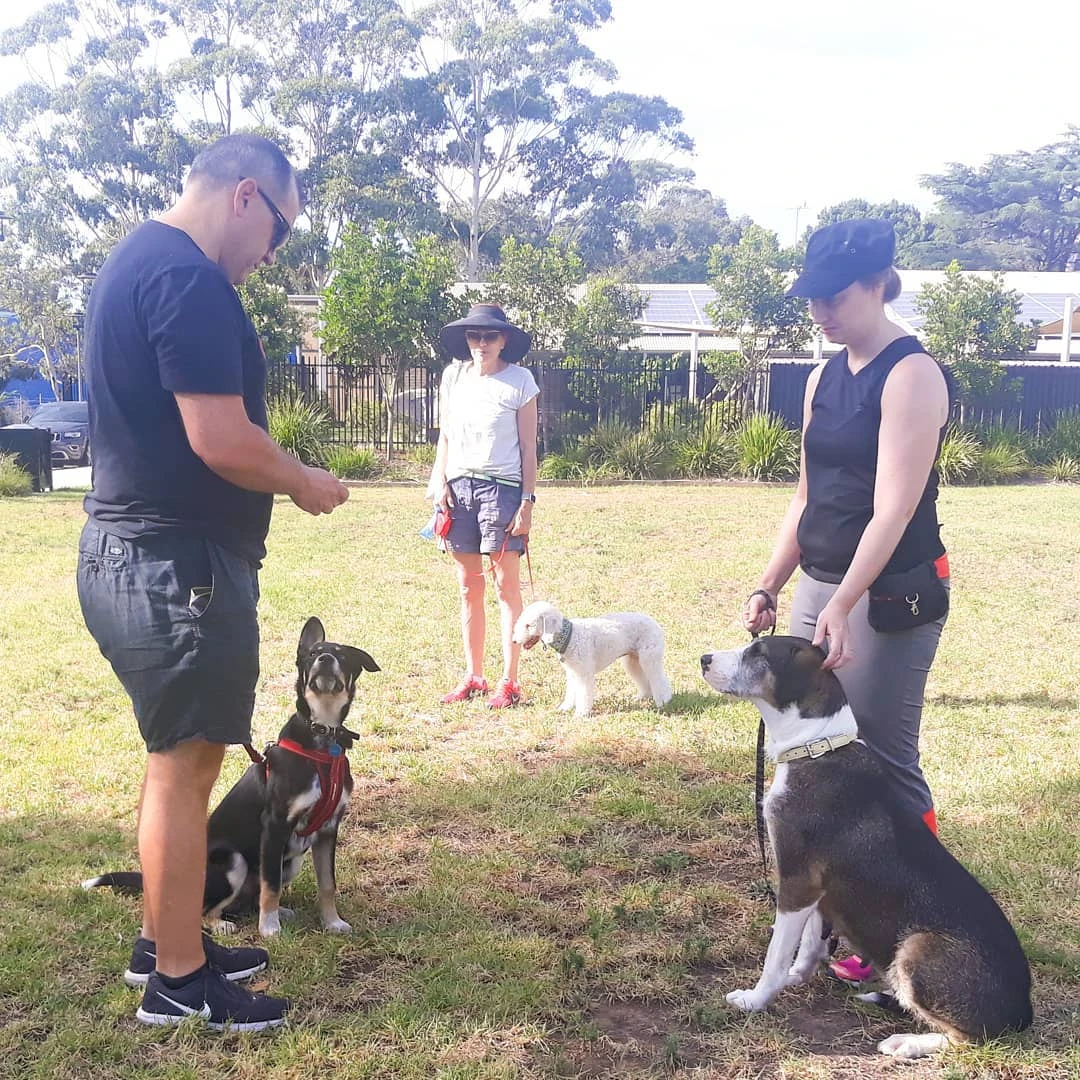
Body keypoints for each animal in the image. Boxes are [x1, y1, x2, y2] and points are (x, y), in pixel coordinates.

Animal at [84, 622, 382, 941]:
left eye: (341, 655)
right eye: (313, 653)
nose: (325, 659)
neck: (322, 736)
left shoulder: (328, 829)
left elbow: (327, 883)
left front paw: (332, 922)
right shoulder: (275, 825)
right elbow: (271, 886)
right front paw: (269, 928)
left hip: (290, 860)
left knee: (251, 895)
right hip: (233, 860)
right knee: (206, 909)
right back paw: (225, 923)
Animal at [511, 600, 669, 717]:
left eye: (528, 625)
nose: (514, 641)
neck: (569, 636)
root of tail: (655, 623)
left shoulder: (584, 674)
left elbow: (584, 694)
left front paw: (580, 714)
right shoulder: (572, 672)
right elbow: (571, 692)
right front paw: (565, 708)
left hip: (650, 657)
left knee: (660, 679)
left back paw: (663, 701)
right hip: (633, 660)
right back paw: (643, 697)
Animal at [695, 635, 1032, 1058]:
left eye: (759, 654)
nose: (703, 659)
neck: (817, 747)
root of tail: (1024, 1012)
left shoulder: (797, 881)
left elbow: (776, 953)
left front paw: (756, 999)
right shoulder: (817, 890)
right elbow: (809, 943)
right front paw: (797, 976)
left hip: (918, 949)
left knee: (969, 1041)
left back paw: (907, 1043)